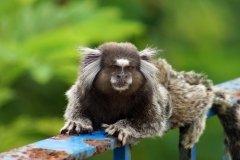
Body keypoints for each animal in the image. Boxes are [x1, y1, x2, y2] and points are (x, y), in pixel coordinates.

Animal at [60, 42, 238, 159]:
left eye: (129, 68)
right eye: (114, 67)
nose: (122, 76)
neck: (116, 95)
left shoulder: (149, 95)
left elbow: (152, 123)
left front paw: (122, 127)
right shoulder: (82, 90)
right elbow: (75, 111)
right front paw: (78, 123)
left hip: (174, 90)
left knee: (197, 97)